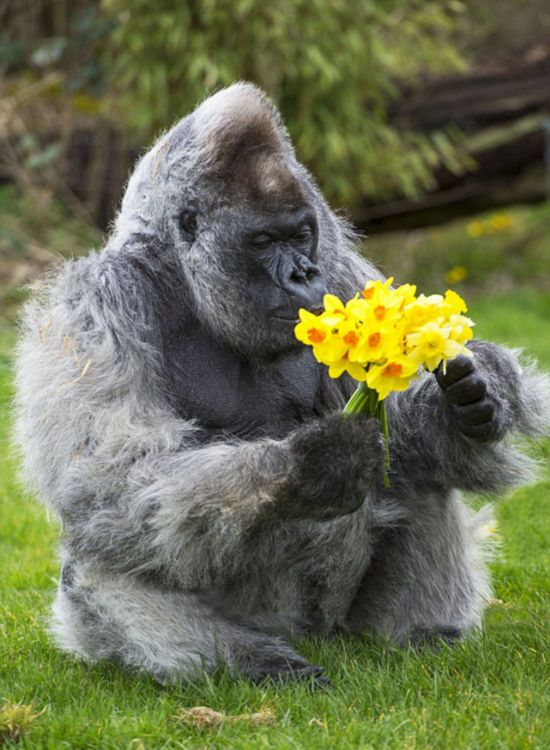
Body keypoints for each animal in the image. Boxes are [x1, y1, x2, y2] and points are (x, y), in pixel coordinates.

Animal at [15, 83, 550, 688]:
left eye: (301, 235)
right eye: (264, 240)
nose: (301, 274)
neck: (184, 281)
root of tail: (310, 634)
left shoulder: (338, 268)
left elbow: (407, 430)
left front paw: (474, 404)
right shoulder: (95, 303)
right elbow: (111, 477)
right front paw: (312, 464)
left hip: (340, 623)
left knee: (418, 466)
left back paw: (420, 635)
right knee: (116, 533)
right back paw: (249, 660)